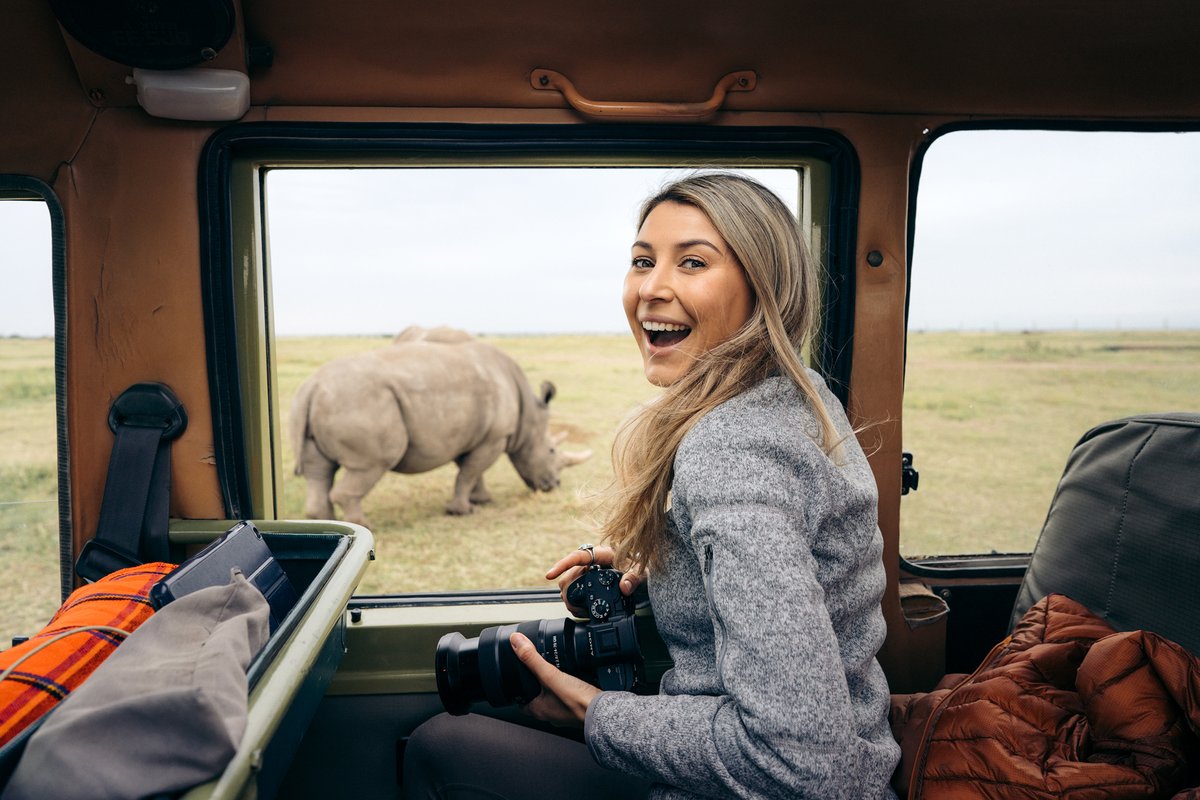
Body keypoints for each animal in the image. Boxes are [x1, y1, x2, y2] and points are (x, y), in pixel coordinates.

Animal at [289, 327, 591, 522]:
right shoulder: (494, 436)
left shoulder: (472, 434)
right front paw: (462, 512)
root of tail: (312, 387)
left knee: (319, 471)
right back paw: (363, 525)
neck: (528, 412)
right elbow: (469, 472)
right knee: (370, 465)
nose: (554, 485)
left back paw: (328, 524)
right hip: (360, 402)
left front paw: (481, 500)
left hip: (323, 401)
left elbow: (471, 471)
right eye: (551, 451)